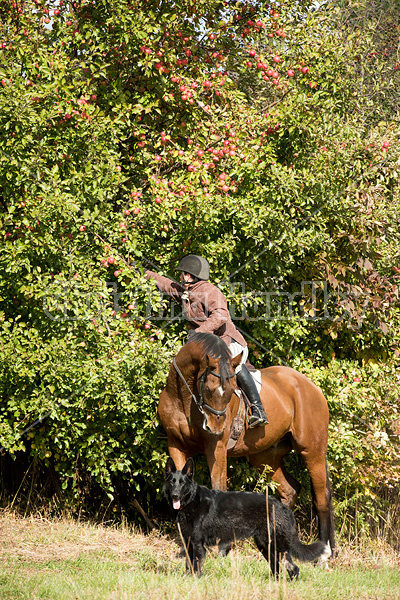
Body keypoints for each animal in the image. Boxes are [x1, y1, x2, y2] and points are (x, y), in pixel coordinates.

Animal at [158, 330, 336, 552]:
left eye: (232, 389)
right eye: (208, 389)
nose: (216, 429)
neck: (183, 398)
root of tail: (311, 386)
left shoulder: (216, 448)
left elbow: (218, 486)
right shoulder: (176, 444)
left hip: (312, 450)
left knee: (322, 498)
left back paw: (326, 552)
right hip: (265, 457)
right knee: (290, 490)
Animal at [164, 458, 330, 580]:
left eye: (182, 483)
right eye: (172, 482)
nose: (175, 496)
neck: (190, 501)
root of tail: (283, 507)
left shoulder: (198, 545)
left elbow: (196, 567)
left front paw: (195, 581)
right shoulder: (188, 543)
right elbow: (188, 565)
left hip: (276, 547)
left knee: (293, 568)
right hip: (265, 546)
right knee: (277, 568)